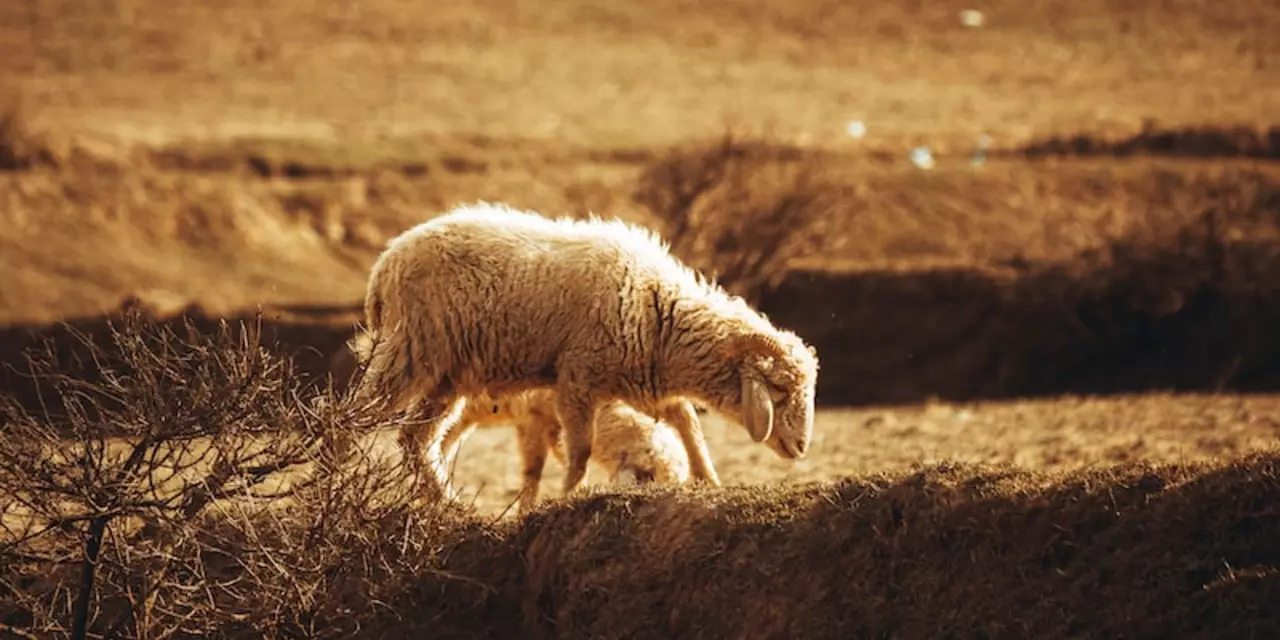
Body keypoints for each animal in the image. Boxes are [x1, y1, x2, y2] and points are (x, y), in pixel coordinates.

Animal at [350, 202, 819, 501]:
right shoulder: (576, 379)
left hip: (448, 376)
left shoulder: (633, 378)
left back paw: (449, 506)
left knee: (416, 441)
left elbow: (686, 419)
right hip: (410, 352)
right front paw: (567, 496)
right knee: (352, 419)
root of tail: (383, 266)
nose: (801, 447)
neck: (657, 309)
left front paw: (709, 479)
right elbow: (578, 454)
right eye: (779, 390)